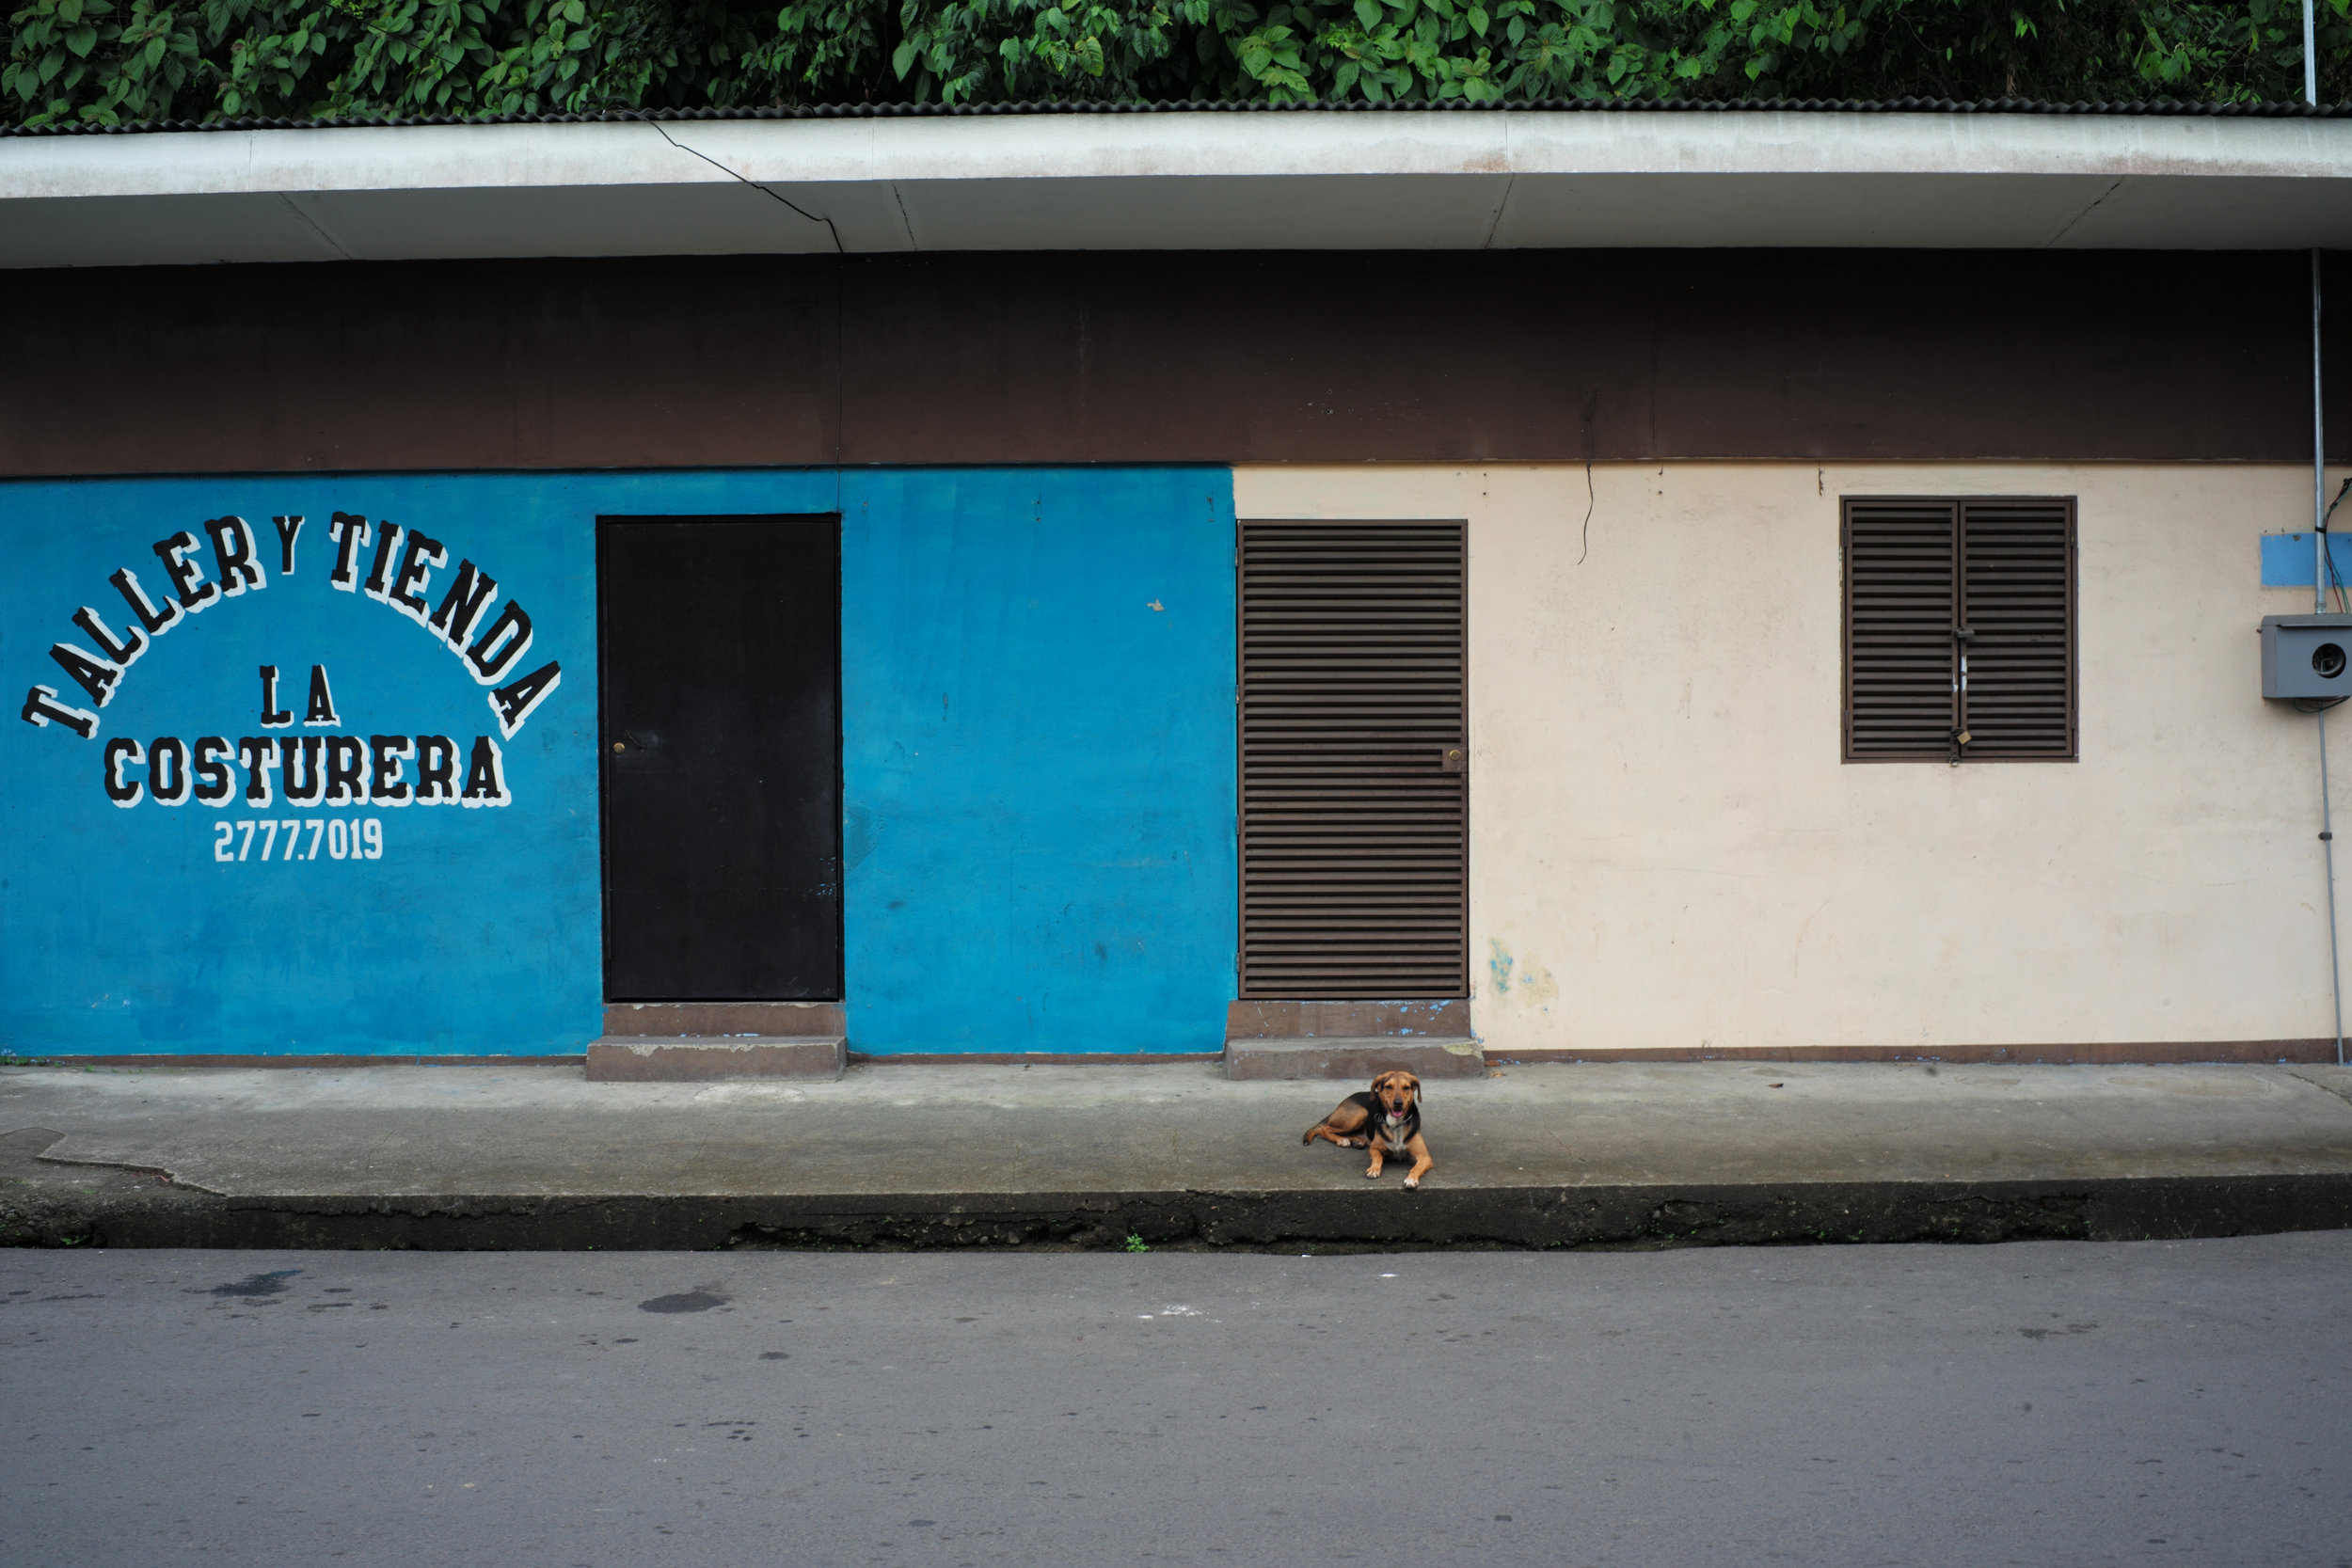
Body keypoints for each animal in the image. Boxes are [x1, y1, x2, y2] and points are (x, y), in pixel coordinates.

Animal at [1308, 1081, 1430, 1189]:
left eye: (1406, 1088)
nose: (1398, 1104)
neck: (1396, 1125)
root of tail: (1343, 1102)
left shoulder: (1425, 1157)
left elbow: (1416, 1167)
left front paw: (1411, 1179)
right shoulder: (1374, 1149)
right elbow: (1378, 1158)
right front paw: (1373, 1169)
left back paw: (1356, 1141)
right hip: (1360, 1113)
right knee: (1324, 1129)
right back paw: (1342, 1140)